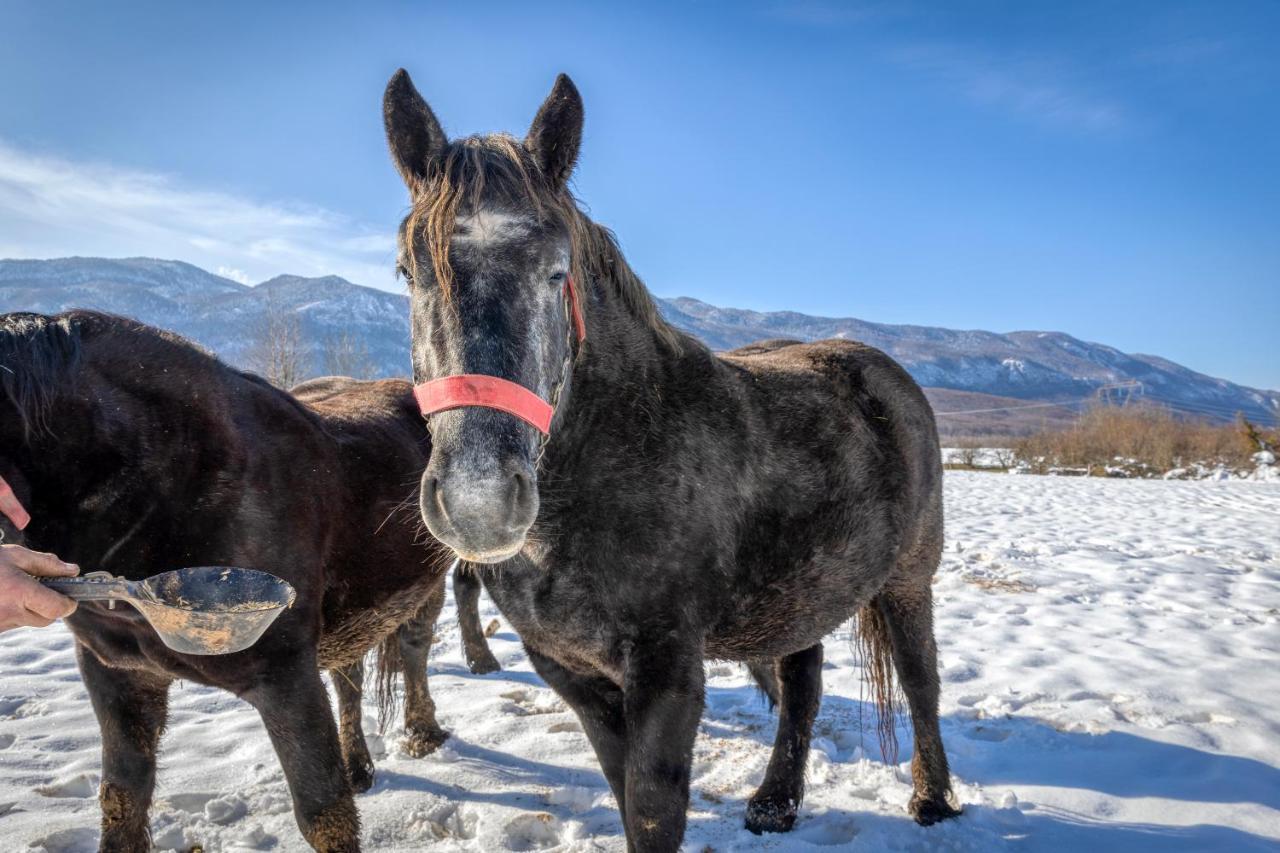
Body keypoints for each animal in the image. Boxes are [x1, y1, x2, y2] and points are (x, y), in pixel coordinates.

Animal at [0, 312, 455, 850]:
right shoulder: (117, 675)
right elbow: (122, 799)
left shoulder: (283, 676)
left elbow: (324, 812)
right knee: (351, 677)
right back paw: (359, 766)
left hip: (429, 584)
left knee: (413, 648)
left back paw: (422, 734)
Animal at [384, 69, 962, 845]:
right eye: (407, 272)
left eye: (557, 272)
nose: (480, 502)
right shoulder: (570, 671)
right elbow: (623, 791)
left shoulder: (667, 674)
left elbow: (654, 809)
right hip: (803, 589)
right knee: (802, 685)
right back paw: (775, 801)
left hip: (907, 580)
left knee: (921, 680)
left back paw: (931, 797)